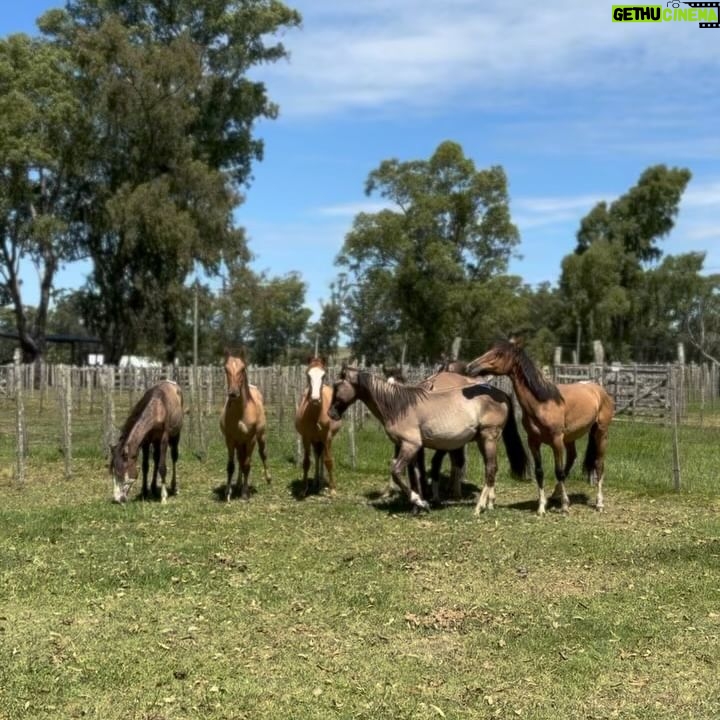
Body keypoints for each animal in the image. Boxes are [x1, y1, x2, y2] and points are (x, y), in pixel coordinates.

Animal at [220, 349, 271, 501]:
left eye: (242, 369)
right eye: (226, 369)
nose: (233, 393)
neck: (241, 412)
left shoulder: (251, 439)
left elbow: (247, 464)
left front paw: (245, 493)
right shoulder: (230, 440)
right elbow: (231, 465)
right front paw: (228, 492)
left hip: (261, 437)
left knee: (262, 454)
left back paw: (268, 479)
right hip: (239, 443)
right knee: (240, 460)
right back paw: (237, 484)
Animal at [294, 356, 342, 497]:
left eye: (324, 375)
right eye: (307, 374)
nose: (315, 399)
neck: (316, 414)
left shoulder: (327, 437)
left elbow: (328, 461)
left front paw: (332, 489)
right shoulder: (306, 437)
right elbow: (306, 462)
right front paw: (304, 489)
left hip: (323, 439)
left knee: (322, 458)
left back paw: (322, 482)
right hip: (315, 440)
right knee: (317, 455)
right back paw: (316, 481)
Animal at [328, 366, 527, 513]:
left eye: (337, 387)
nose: (331, 414)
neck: (398, 405)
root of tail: (501, 394)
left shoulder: (410, 446)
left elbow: (396, 472)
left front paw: (420, 502)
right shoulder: (413, 449)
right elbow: (415, 477)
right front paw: (418, 507)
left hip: (489, 437)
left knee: (490, 469)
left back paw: (479, 507)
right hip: (481, 440)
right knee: (491, 469)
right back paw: (489, 504)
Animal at [466, 340, 615, 515]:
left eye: (499, 354)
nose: (470, 367)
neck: (542, 403)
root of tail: (598, 389)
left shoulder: (556, 441)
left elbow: (558, 471)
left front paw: (564, 506)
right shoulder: (533, 442)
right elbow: (539, 472)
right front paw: (542, 507)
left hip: (601, 433)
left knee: (598, 464)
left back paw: (599, 503)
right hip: (570, 438)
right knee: (572, 459)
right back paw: (556, 495)